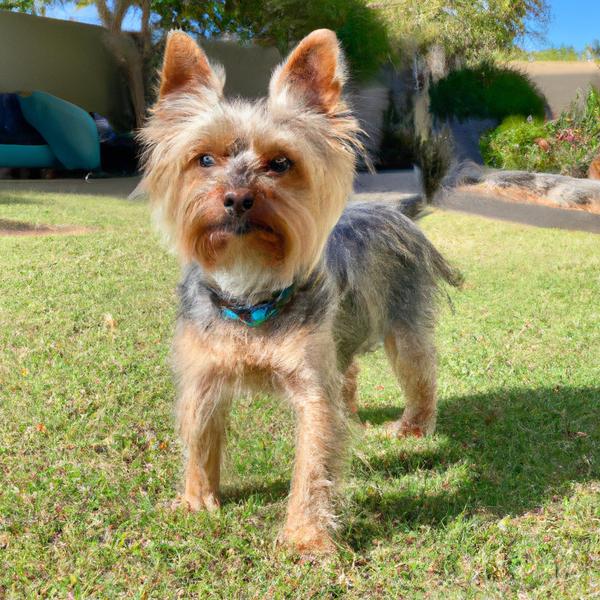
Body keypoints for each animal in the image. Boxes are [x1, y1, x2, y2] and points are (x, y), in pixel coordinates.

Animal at [139, 28, 460, 552]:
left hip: (402, 323)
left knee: (419, 371)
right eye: (203, 159)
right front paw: (196, 501)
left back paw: (412, 427)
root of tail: (394, 208)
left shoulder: (311, 382)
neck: (249, 288)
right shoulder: (203, 373)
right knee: (349, 374)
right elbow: (200, 436)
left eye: (280, 163)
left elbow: (314, 459)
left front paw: (306, 536)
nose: (237, 197)